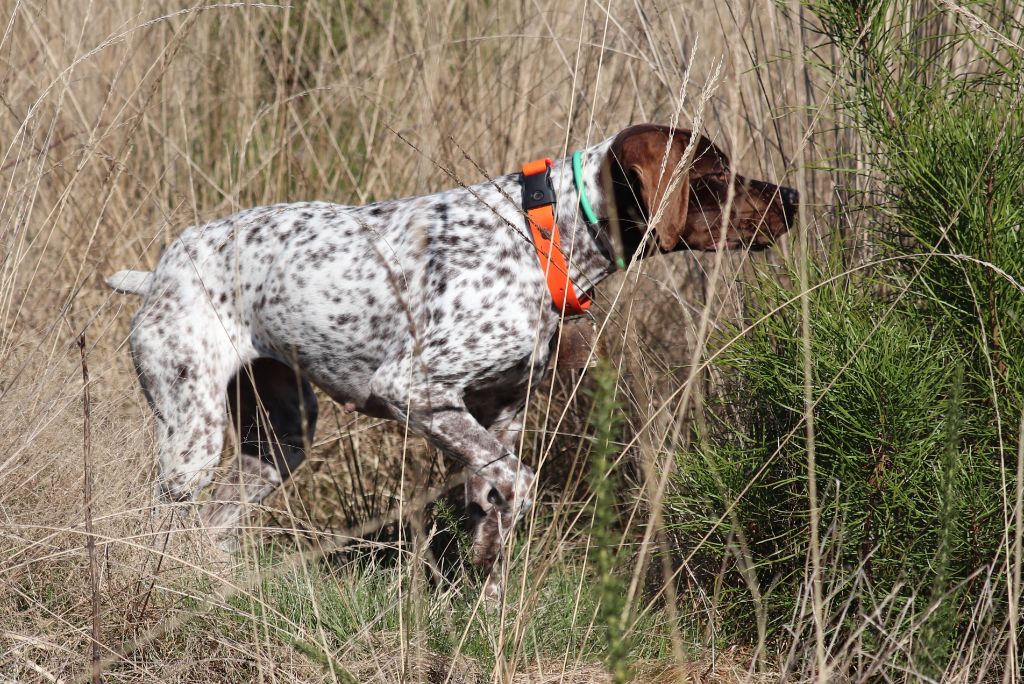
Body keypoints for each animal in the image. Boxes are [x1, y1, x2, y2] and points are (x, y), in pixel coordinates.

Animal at [108, 125, 794, 602]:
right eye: (717, 173)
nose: (791, 195)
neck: (542, 235)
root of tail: (162, 268)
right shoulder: (411, 389)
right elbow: (516, 482)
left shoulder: (500, 411)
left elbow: (489, 507)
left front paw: (486, 603)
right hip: (192, 437)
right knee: (162, 519)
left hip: (279, 439)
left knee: (213, 525)